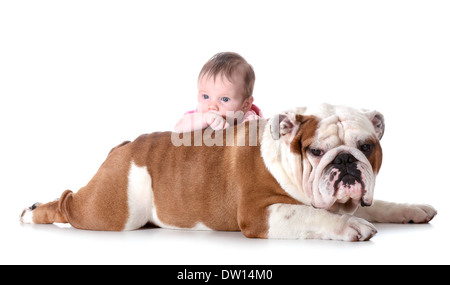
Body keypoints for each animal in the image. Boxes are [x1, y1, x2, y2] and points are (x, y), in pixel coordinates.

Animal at [20, 103, 436, 241]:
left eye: (366, 146)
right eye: (316, 152)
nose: (345, 161)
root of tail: (122, 146)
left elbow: (379, 203)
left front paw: (411, 209)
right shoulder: (260, 213)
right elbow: (310, 214)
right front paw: (349, 227)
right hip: (113, 212)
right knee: (68, 203)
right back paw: (31, 211)